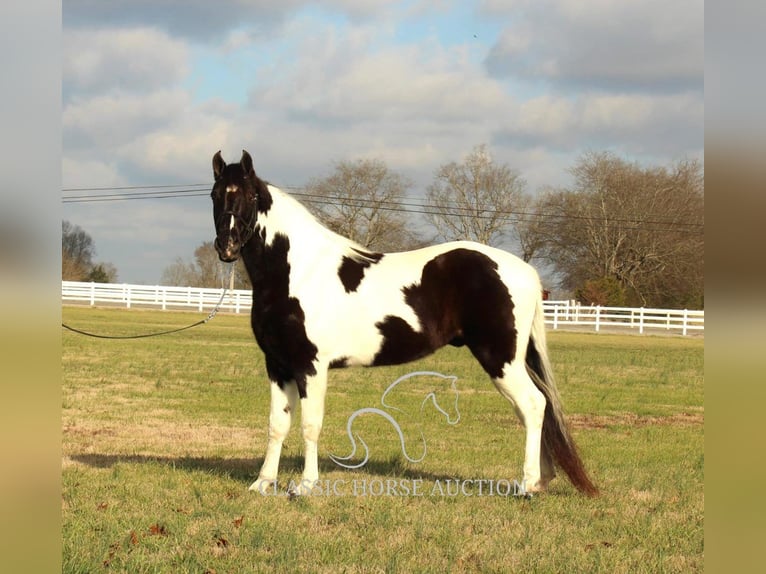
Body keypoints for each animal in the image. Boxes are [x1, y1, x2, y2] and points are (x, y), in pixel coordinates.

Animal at [208, 151, 600, 498]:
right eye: (215, 194)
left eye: (249, 195)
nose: (227, 247)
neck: (297, 272)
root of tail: (526, 272)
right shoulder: (278, 365)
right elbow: (278, 424)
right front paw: (263, 484)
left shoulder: (310, 366)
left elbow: (310, 425)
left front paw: (305, 486)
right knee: (531, 409)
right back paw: (541, 480)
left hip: (501, 359)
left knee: (533, 406)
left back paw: (527, 485)